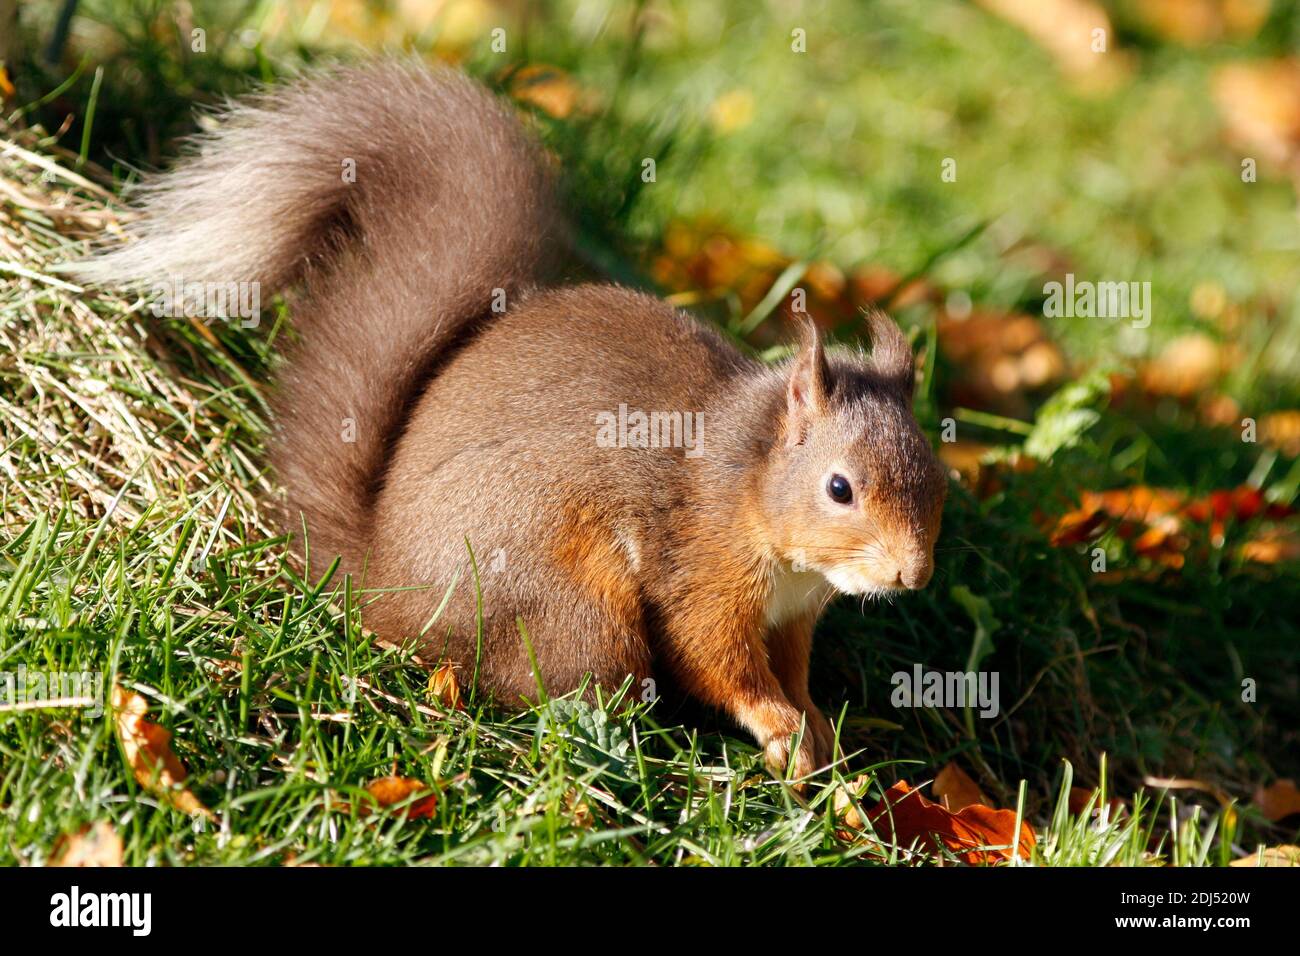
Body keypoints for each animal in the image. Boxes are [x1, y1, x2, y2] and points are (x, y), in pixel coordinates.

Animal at [73, 59, 946, 780]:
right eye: (839, 488)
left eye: (938, 478)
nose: (912, 576)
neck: (756, 490)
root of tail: (382, 583)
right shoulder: (699, 570)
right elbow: (716, 661)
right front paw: (779, 731)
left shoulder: (794, 616)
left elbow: (793, 670)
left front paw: (819, 732)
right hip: (573, 609)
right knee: (538, 687)